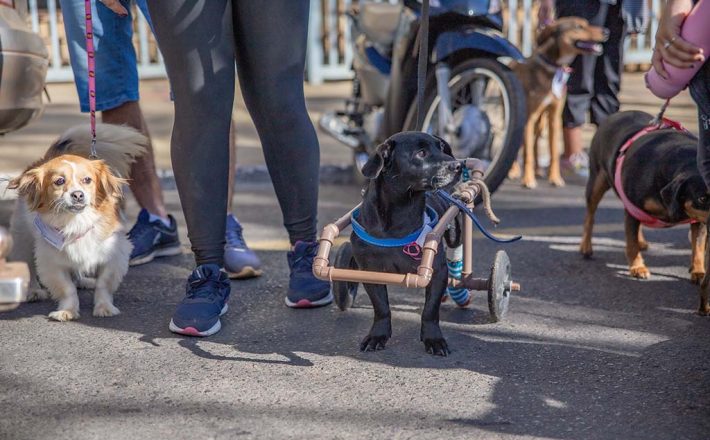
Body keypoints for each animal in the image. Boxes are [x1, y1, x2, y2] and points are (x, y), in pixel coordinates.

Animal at [7, 124, 147, 320]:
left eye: (87, 180)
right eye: (59, 181)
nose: (78, 194)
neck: (76, 221)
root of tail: (44, 159)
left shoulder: (114, 255)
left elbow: (103, 284)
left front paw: (104, 308)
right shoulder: (53, 261)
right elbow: (67, 289)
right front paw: (67, 311)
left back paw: (83, 281)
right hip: (23, 239)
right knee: (28, 265)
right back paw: (33, 291)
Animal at [356, 131, 468, 354]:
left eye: (441, 148)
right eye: (421, 153)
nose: (459, 165)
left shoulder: (437, 271)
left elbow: (430, 310)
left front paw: (433, 339)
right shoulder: (370, 271)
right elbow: (381, 307)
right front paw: (377, 335)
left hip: (454, 233)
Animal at [512, 17, 612, 188]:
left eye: (587, 23)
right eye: (579, 26)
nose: (606, 31)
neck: (554, 68)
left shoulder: (554, 118)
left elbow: (552, 151)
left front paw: (555, 178)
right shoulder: (528, 119)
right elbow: (528, 153)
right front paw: (528, 180)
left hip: (540, 122)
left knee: (535, 144)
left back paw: (538, 170)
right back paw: (514, 171)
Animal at [580, 109, 708, 296]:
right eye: (702, 198)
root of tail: (615, 114)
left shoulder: (698, 219)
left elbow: (698, 245)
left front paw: (698, 271)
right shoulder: (633, 206)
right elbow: (631, 243)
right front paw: (637, 268)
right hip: (597, 180)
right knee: (590, 214)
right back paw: (586, 246)